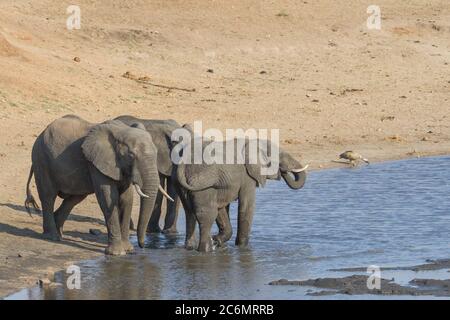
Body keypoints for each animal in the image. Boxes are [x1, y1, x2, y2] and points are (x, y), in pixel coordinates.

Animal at [24, 114, 172, 255]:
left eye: (157, 153)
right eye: (131, 155)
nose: (143, 246)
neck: (122, 131)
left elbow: (127, 199)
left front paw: (129, 250)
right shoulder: (97, 163)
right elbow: (108, 198)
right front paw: (117, 253)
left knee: (74, 198)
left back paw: (60, 234)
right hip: (41, 160)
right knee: (48, 196)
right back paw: (52, 237)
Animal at [174, 136, 308, 251]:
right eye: (279, 157)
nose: (283, 171)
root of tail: (183, 164)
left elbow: (222, 209)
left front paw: (217, 241)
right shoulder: (247, 176)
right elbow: (246, 206)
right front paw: (242, 247)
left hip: (184, 185)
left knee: (190, 213)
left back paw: (191, 248)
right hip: (203, 183)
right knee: (207, 215)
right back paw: (206, 250)